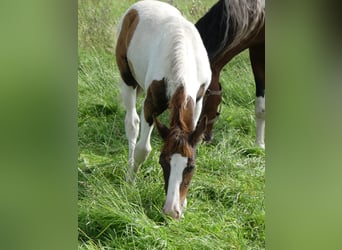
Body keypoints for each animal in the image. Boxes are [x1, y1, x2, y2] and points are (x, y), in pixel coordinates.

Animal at [115, 0, 211, 219]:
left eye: (190, 166)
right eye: (162, 162)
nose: (171, 211)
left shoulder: (198, 101)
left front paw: (184, 204)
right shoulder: (150, 105)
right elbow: (143, 149)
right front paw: (131, 183)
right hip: (127, 79)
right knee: (132, 124)